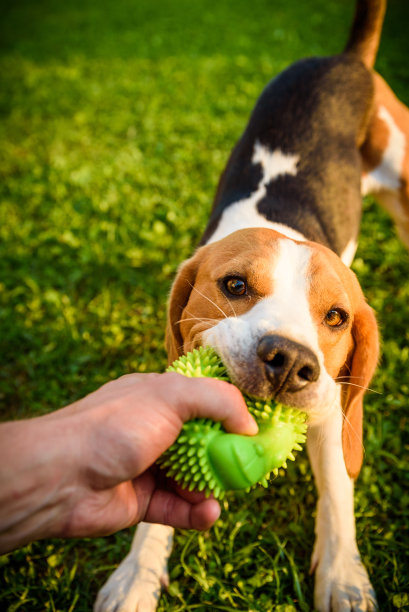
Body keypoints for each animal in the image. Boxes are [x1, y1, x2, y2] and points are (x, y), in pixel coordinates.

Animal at [96, 0, 408, 608]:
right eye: (235, 286)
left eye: (336, 317)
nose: (289, 361)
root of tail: (347, 59)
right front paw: (137, 572)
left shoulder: (333, 407)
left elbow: (338, 494)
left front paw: (344, 577)